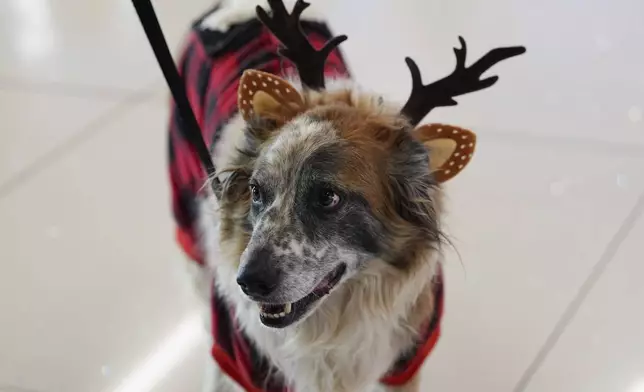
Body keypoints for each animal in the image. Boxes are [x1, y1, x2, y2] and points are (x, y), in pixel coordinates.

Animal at [169, 0, 524, 392]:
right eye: (256, 191)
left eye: (328, 198)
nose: (249, 283)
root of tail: (231, 9)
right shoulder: (244, 362)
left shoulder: (406, 359)